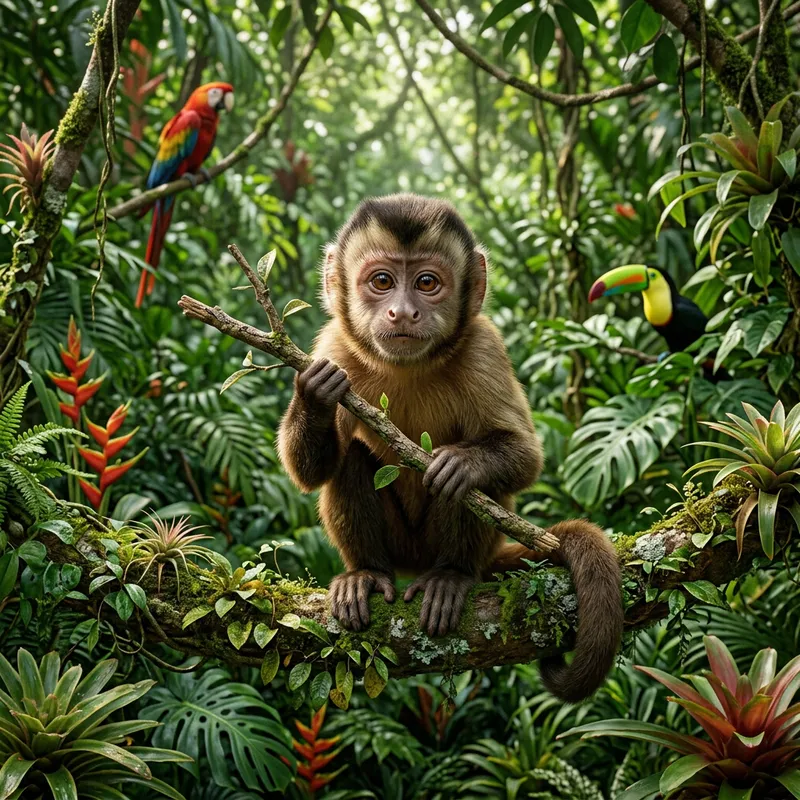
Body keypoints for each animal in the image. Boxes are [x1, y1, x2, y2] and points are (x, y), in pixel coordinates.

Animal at [277, 194, 622, 702]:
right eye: (382, 282)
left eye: (427, 283)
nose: (403, 313)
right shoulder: (333, 346)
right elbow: (311, 471)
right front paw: (316, 395)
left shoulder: (485, 346)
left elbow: (525, 456)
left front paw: (462, 463)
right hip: (400, 547)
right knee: (352, 462)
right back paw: (366, 574)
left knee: (474, 496)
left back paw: (450, 575)